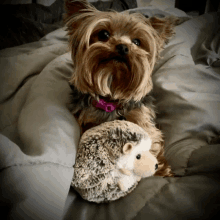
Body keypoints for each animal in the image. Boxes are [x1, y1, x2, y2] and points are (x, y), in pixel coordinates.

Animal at [63, 0, 179, 176]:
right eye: (103, 34)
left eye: (137, 42)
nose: (123, 47)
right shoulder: (88, 121)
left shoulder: (141, 117)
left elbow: (152, 139)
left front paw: (160, 169)